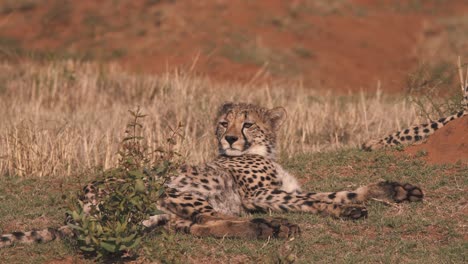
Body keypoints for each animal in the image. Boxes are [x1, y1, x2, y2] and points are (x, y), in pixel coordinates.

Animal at [0, 102, 424, 246]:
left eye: (248, 123)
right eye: (224, 123)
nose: (231, 138)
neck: (263, 151)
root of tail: (78, 205)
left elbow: (336, 192)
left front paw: (393, 190)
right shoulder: (260, 196)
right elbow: (314, 200)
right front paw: (346, 209)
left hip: (163, 216)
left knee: (199, 227)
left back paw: (264, 229)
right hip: (172, 189)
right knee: (210, 218)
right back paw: (273, 226)